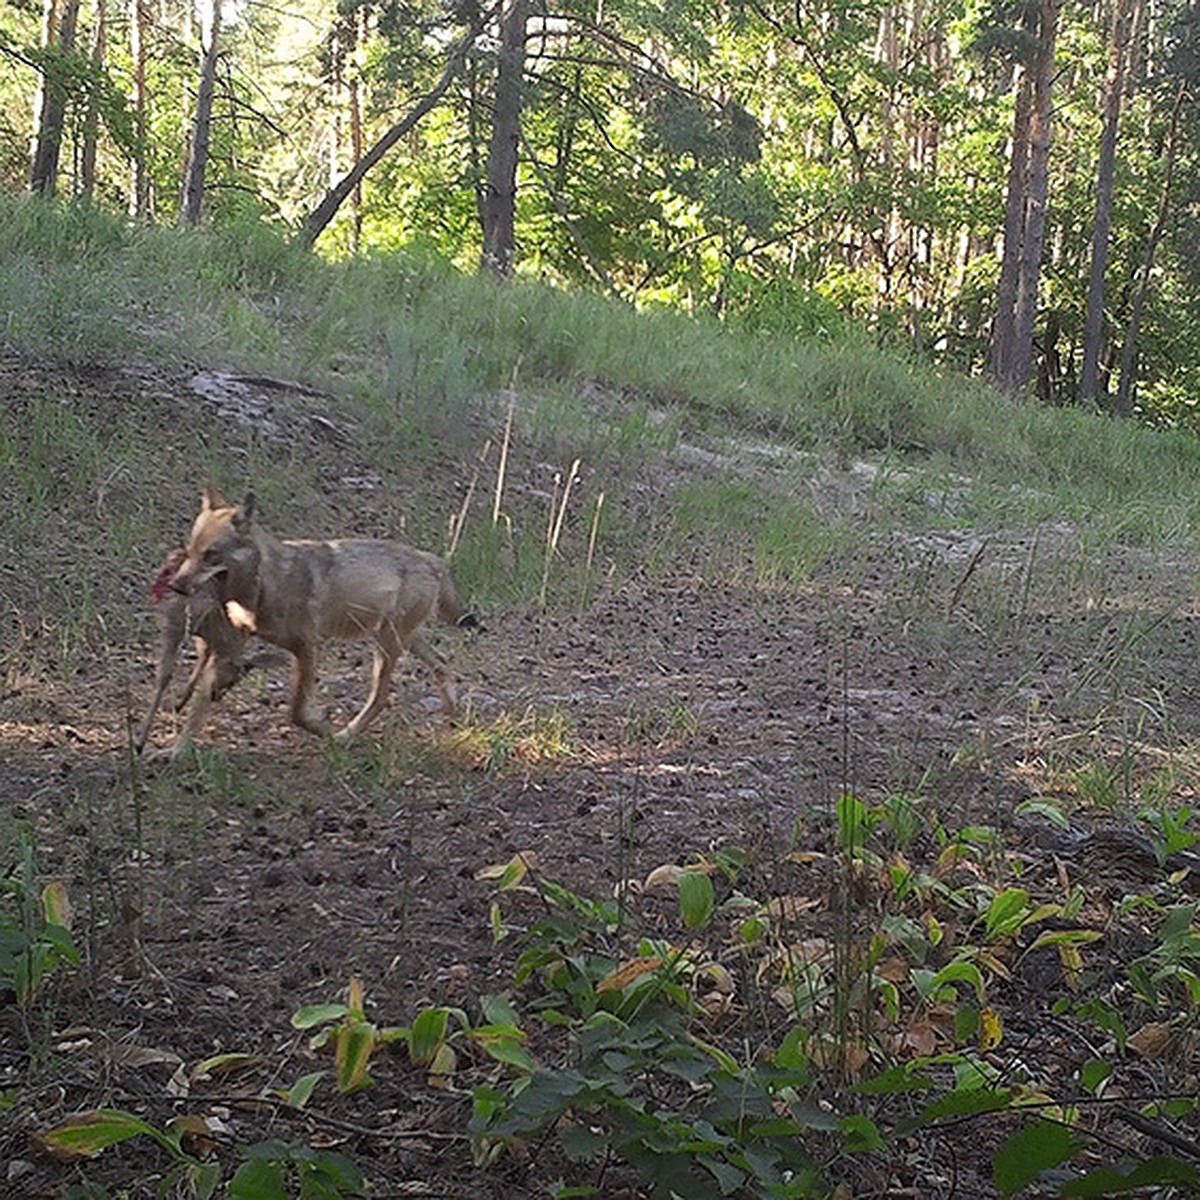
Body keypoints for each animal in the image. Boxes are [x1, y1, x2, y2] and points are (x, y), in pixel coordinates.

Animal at [170, 484, 477, 739]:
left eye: (211, 555)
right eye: (189, 552)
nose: (175, 585)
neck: (267, 585)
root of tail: (431, 559)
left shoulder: (307, 648)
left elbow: (297, 712)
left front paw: (324, 730)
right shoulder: (231, 646)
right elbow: (197, 709)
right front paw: (174, 751)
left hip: (386, 647)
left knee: (381, 697)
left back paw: (346, 736)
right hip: (401, 640)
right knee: (442, 666)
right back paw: (454, 718)